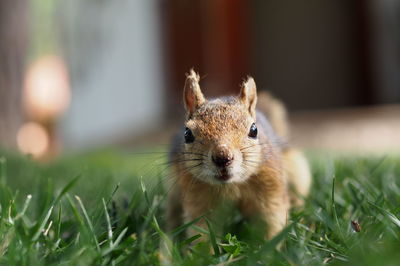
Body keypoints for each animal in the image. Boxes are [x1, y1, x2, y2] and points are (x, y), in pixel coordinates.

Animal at [166, 69, 312, 242]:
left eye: (254, 130)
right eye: (187, 134)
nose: (223, 157)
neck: (231, 185)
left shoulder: (270, 192)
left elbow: (271, 222)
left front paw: (267, 246)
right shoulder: (198, 200)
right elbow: (201, 233)